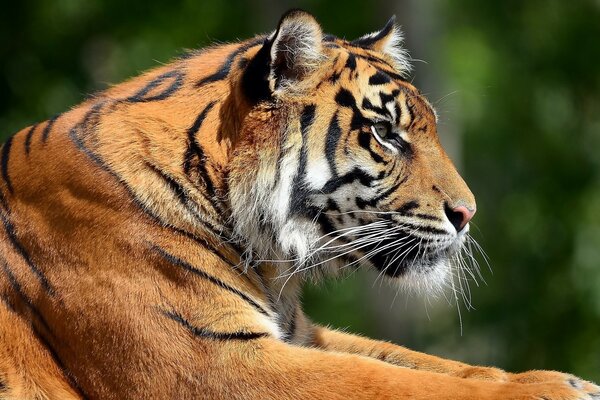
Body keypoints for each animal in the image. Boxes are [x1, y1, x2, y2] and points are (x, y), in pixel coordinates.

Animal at [0, 9, 596, 400]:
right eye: (385, 133)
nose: (467, 214)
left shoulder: (299, 334)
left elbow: (421, 363)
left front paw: (560, 380)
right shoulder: (211, 360)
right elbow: (388, 381)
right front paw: (553, 392)